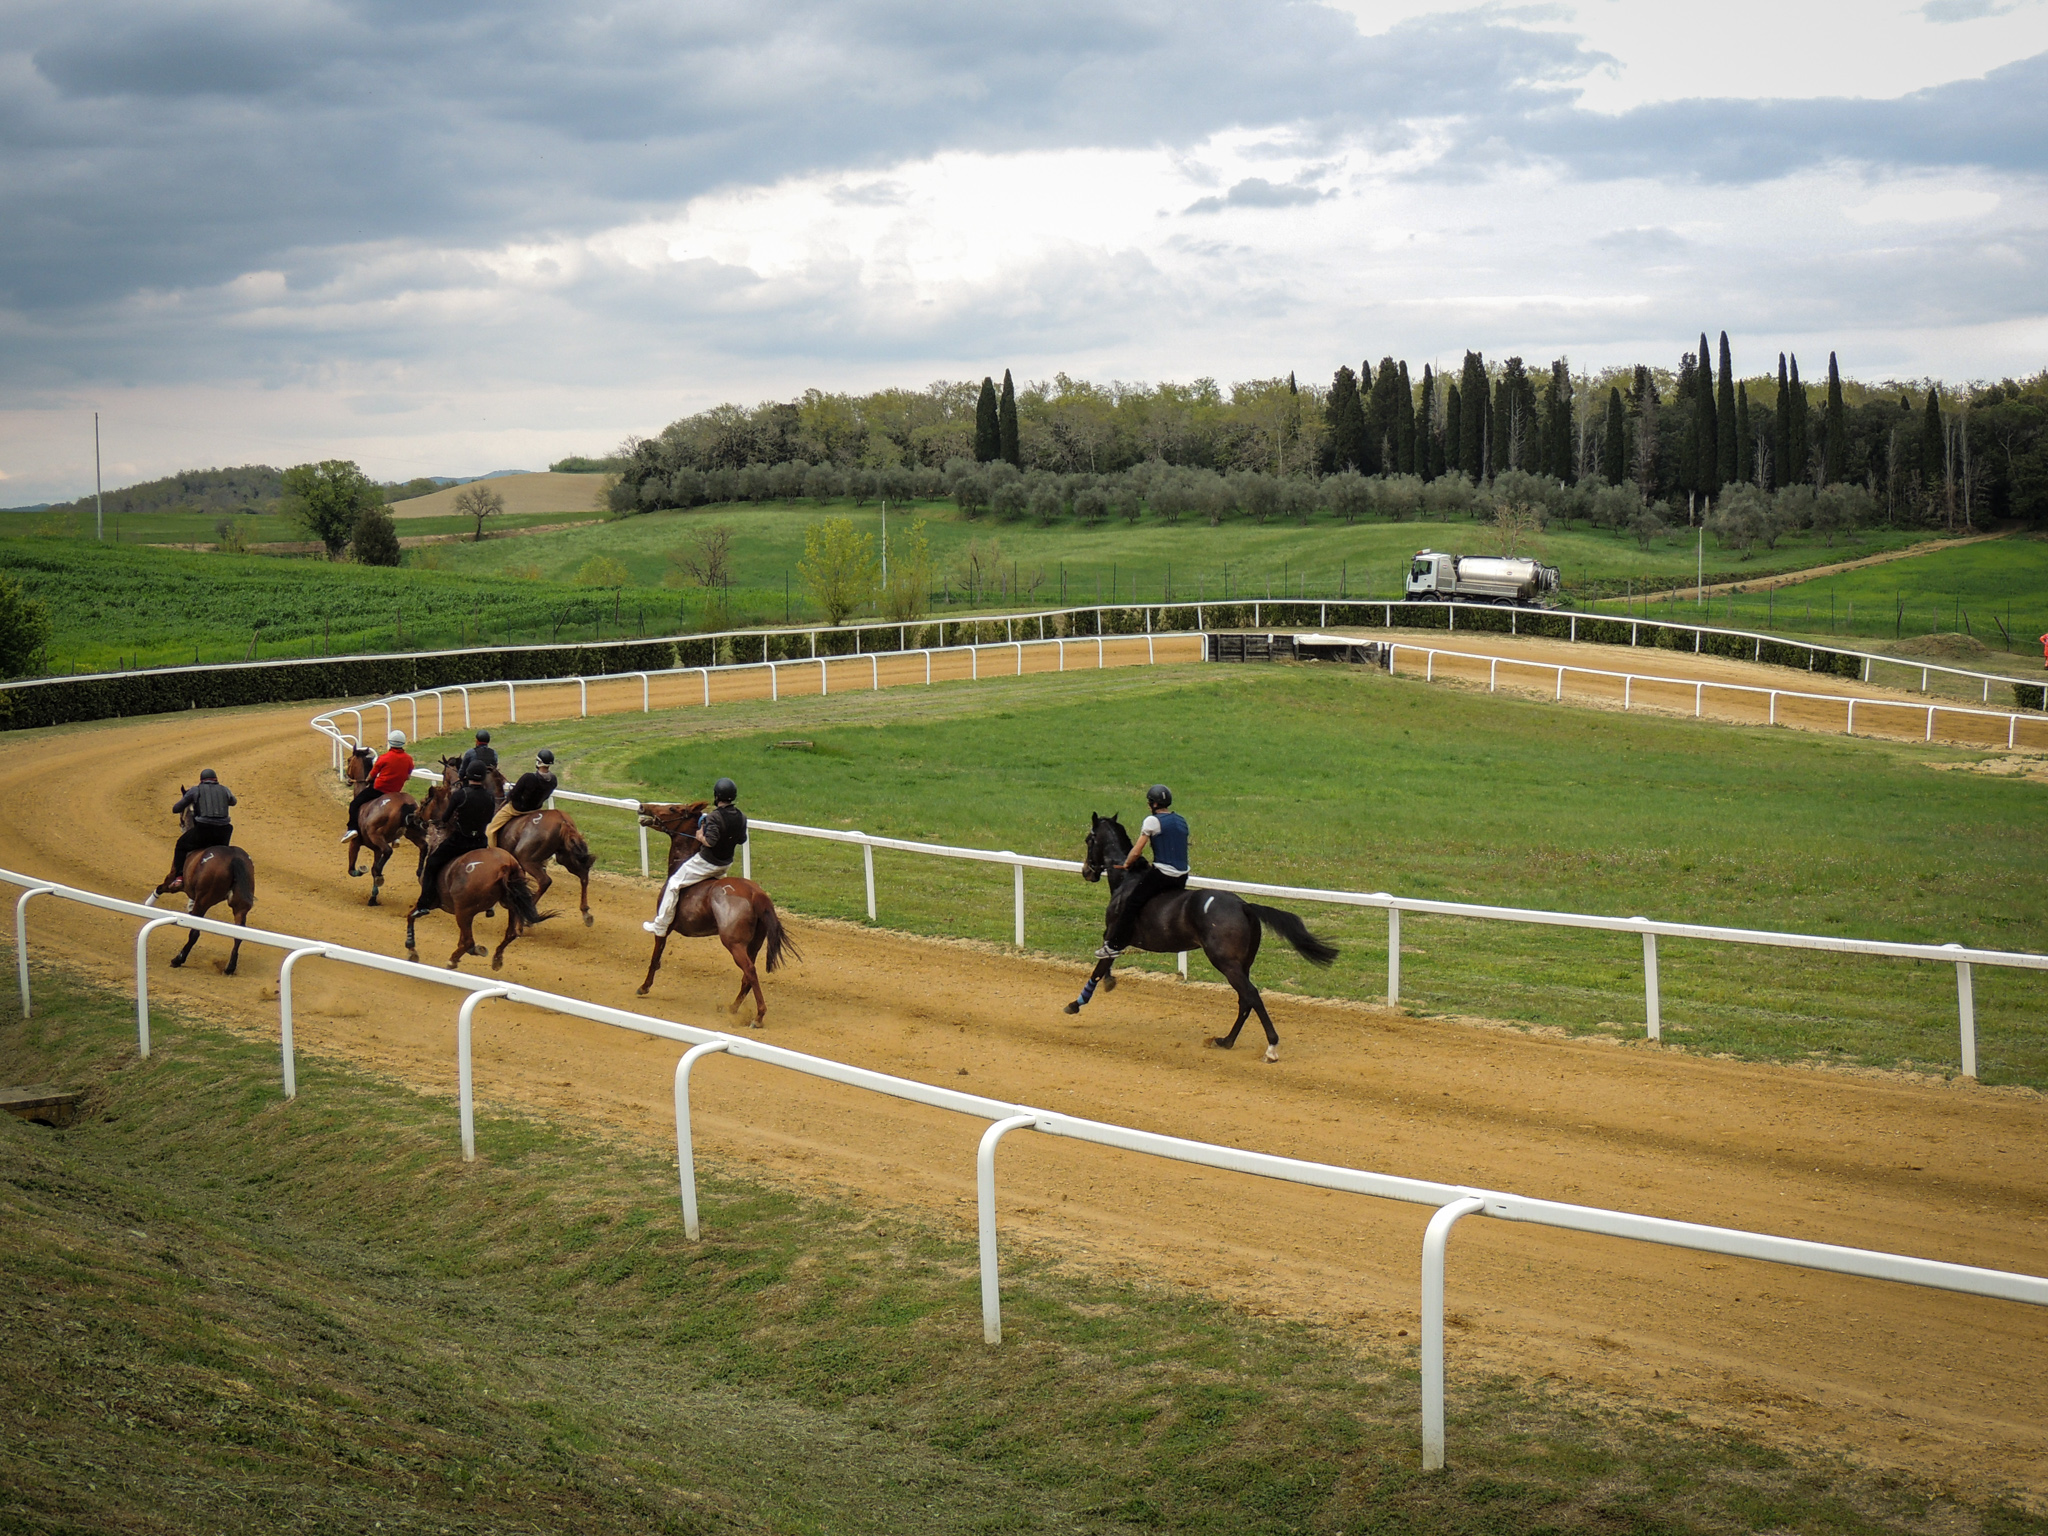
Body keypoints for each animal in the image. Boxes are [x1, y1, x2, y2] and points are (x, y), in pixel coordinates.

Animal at [145, 796, 257, 976]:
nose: (182, 824)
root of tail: (234, 859)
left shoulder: (174, 880)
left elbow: (161, 887)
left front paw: (148, 904)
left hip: (204, 901)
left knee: (195, 932)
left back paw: (178, 959)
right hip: (240, 905)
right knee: (238, 935)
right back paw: (230, 967)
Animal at [344, 746, 427, 905]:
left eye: (349, 760)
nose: (347, 778)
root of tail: (405, 803)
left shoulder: (356, 842)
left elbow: (352, 869)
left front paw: (363, 870)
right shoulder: (376, 849)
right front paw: (373, 897)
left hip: (376, 834)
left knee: (388, 851)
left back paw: (380, 874)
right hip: (412, 832)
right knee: (424, 846)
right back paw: (419, 872)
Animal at [405, 782, 554, 971]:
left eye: (426, 801)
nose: (412, 816)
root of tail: (505, 866)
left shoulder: (432, 901)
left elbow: (411, 915)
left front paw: (411, 948)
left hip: (463, 912)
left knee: (468, 941)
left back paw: (453, 960)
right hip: (510, 904)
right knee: (510, 934)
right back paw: (496, 958)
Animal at [635, 801, 797, 1024]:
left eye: (673, 808)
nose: (643, 806)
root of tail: (756, 893)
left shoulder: (665, 927)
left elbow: (655, 957)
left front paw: (644, 987)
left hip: (733, 942)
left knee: (750, 970)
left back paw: (758, 1016)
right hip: (754, 944)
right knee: (747, 976)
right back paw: (733, 1007)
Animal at [1066, 812, 1339, 1063]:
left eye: (1089, 839)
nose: (1086, 871)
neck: (1126, 879)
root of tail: (1244, 906)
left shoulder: (1114, 933)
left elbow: (1099, 967)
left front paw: (1076, 1003)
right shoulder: (1118, 939)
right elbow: (1108, 962)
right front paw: (1108, 982)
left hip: (1224, 961)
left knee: (1251, 995)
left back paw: (1270, 1048)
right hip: (1243, 963)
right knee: (1244, 1000)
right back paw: (1226, 1040)